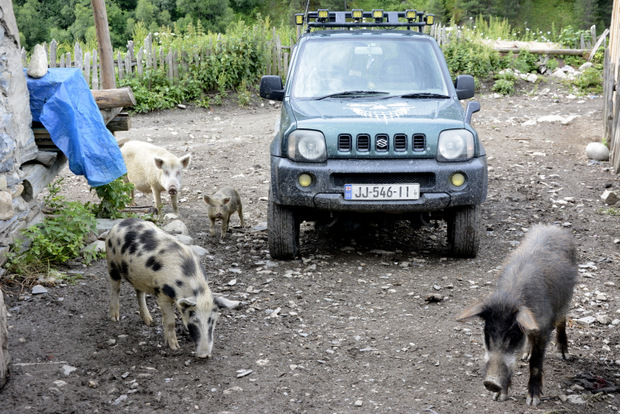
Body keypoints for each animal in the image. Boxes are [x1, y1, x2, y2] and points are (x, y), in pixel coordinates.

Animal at [105, 218, 239, 358]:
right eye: (194, 320)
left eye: (212, 321)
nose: (204, 355)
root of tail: (119, 223)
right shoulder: (162, 294)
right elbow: (170, 321)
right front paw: (175, 347)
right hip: (111, 263)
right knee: (115, 288)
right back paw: (115, 318)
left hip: (136, 275)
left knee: (139, 293)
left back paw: (150, 322)